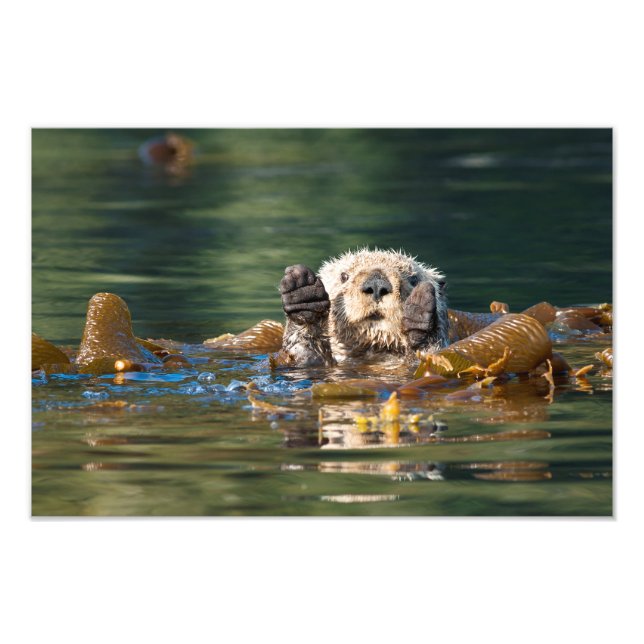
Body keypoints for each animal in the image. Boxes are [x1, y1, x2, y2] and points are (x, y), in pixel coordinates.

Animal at [277, 248, 449, 366]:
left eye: (414, 279)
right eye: (344, 276)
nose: (377, 284)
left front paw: (419, 314)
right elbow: (303, 353)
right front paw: (303, 293)